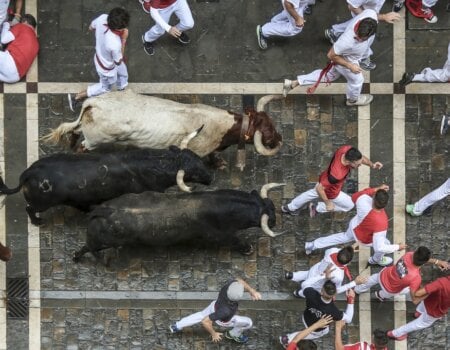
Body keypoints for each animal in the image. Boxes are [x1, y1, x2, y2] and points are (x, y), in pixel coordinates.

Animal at [0, 147, 211, 224]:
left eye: (198, 158)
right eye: (195, 170)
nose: (211, 177)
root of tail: (29, 173)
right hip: (42, 203)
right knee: (29, 208)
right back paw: (37, 221)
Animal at [74, 185, 284, 262]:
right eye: (270, 215)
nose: (275, 220)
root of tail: (104, 210)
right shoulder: (221, 235)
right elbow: (235, 241)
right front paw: (247, 248)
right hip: (102, 242)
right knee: (88, 247)